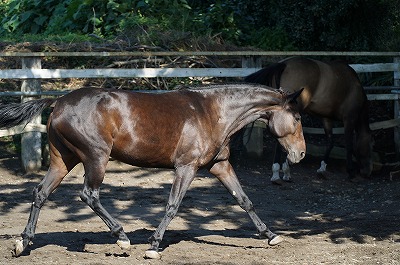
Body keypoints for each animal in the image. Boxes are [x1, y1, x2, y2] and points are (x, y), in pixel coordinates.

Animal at [0, 84, 304, 258]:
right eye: (298, 117)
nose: (300, 154)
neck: (212, 112)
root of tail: (59, 101)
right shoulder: (186, 167)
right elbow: (172, 205)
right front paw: (154, 246)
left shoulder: (220, 166)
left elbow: (244, 200)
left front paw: (271, 236)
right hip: (96, 157)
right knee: (89, 195)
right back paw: (122, 238)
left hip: (63, 160)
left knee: (41, 193)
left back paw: (23, 243)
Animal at [245, 56, 374, 183]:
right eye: (370, 146)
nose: (367, 172)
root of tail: (284, 64)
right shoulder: (349, 118)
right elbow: (349, 144)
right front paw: (350, 171)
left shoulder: (326, 118)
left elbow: (330, 141)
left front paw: (322, 168)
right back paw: (283, 172)